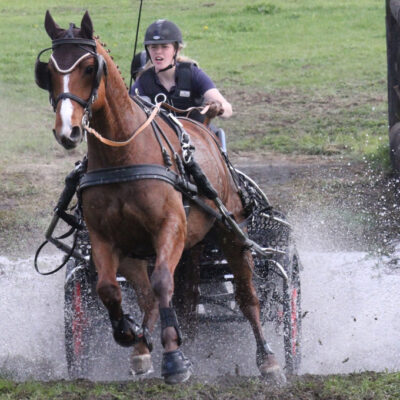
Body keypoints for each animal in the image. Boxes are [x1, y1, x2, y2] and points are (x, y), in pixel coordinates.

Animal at [34, 10, 284, 384]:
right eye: (48, 71)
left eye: (90, 68)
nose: (69, 130)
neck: (124, 156)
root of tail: (200, 125)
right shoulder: (106, 238)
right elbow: (110, 289)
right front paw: (131, 334)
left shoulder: (170, 227)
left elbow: (164, 282)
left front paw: (175, 360)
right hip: (147, 250)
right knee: (147, 296)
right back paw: (141, 348)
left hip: (230, 233)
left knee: (246, 295)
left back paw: (267, 359)